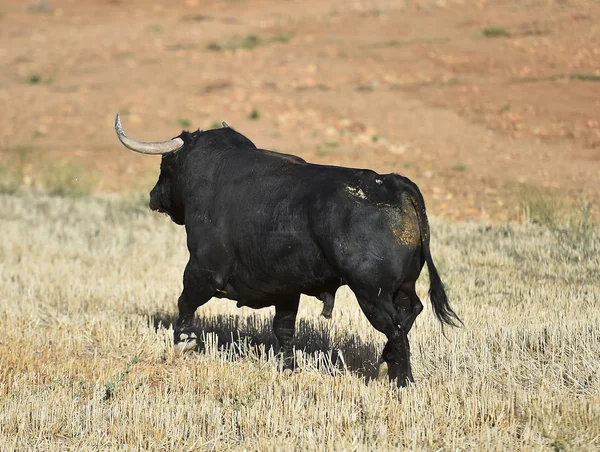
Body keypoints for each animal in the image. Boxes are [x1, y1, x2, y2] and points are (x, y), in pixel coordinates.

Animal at [115, 114, 462, 384]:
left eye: (166, 165)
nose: (153, 195)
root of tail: (393, 183)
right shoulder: (286, 288)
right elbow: (283, 329)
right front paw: (287, 367)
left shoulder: (203, 270)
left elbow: (185, 303)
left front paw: (182, 343)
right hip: (402, 287)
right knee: (410, 312)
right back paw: (385, 365)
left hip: (372, 293)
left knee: (396, 328)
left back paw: (401, 380)